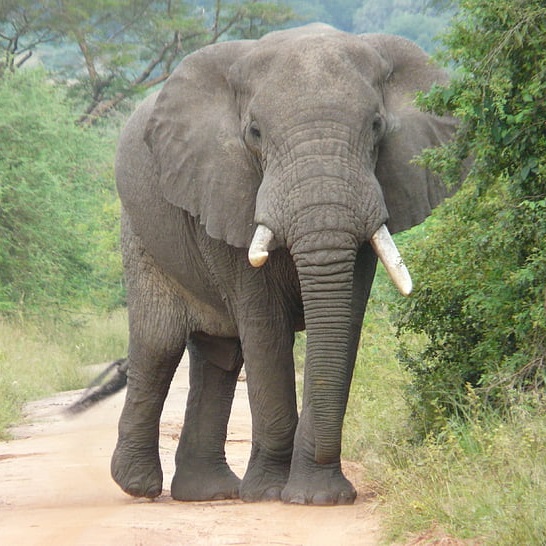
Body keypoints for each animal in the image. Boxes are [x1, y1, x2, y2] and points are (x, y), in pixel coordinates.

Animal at [108, 23, 458, 506]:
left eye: (376, 127)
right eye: (254, 132)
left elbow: (344, 321)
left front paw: (318, 497)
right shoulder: (226, 188)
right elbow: (265, 325)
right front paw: (274, 493)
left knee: (219, 354)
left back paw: (209, 492)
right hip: (140, 229)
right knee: (159, 342)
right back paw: (139, 486)